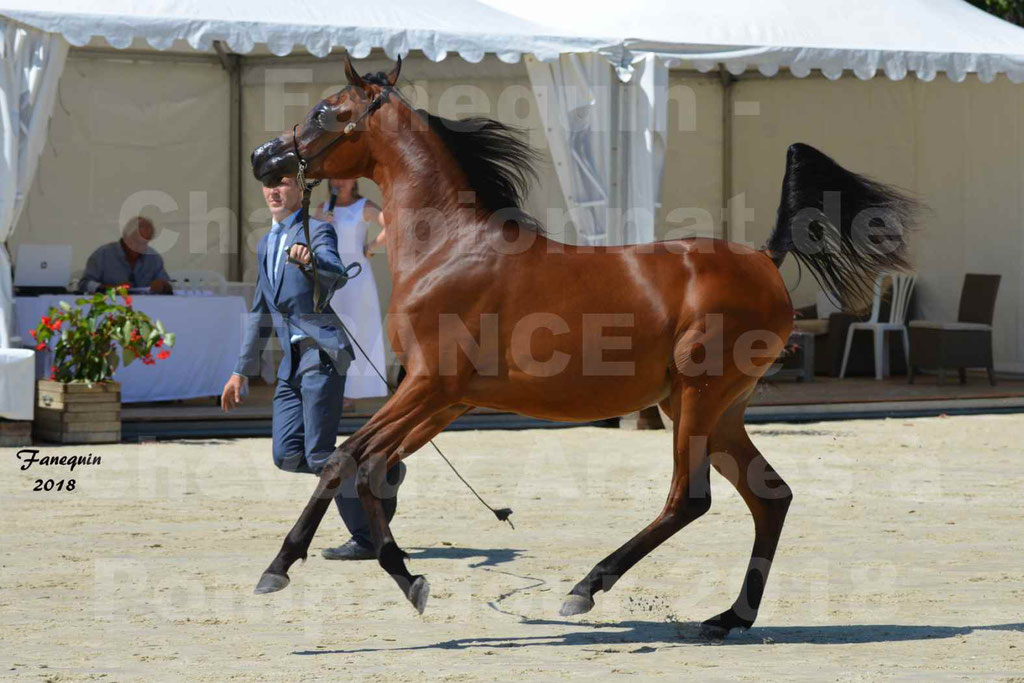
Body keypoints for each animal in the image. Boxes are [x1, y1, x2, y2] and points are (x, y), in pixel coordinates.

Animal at [247, 54, 913, 643]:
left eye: (323, 110)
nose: (263, 159)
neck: (450, 248)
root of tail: (765, 259)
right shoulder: (444, 400)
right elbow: (367, 464)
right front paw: (391, 576)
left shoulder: (428, 385)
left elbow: (347, 458)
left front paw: (296, 570)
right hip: (713, 407)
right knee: (771, 497)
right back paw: (728, 618)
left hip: (699, 395)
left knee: (689, 498)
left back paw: (587, 588)